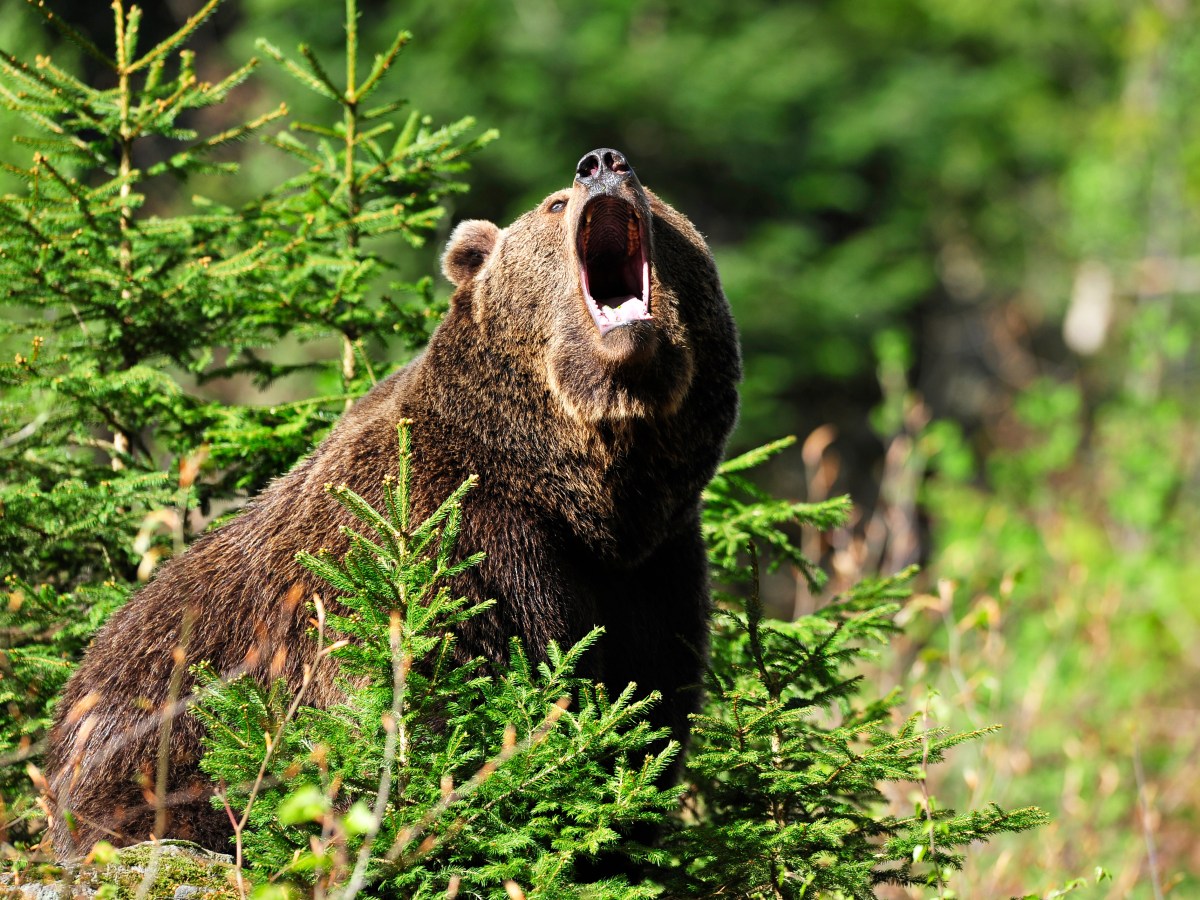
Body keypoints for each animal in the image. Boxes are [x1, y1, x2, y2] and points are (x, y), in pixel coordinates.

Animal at [44, 148, 739, 859]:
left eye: (655, 200)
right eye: (552, 205)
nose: (602, 163)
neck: (575, 486)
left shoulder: (653, 567)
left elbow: (646, 707)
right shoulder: (447, 537)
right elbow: (432, 694)